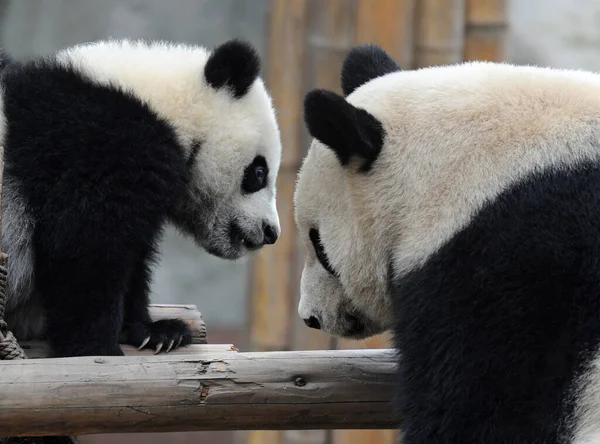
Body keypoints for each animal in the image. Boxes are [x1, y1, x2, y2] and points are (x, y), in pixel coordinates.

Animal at [0, 37, 282, 358]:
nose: (271, 232)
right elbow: (84, 245)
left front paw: (155, 332)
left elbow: (131, 254)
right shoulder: (103, 143)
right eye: (259, 172)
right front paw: (96, 348)